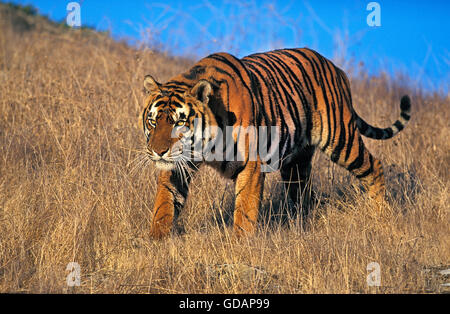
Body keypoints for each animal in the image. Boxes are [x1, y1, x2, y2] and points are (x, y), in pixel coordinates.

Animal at [142, 47, 412, 238]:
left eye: (180, 122)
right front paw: (156, 240)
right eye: (153, 121)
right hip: (297, 164)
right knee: (303, 194)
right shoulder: (180, 164)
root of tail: (336, 68)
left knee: (374, 166)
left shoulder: (250, 164)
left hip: (341, 138)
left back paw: (381, 215)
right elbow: (165, 202)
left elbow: (245, 208)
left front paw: (240, 244)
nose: (158, 152)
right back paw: (299, 228)